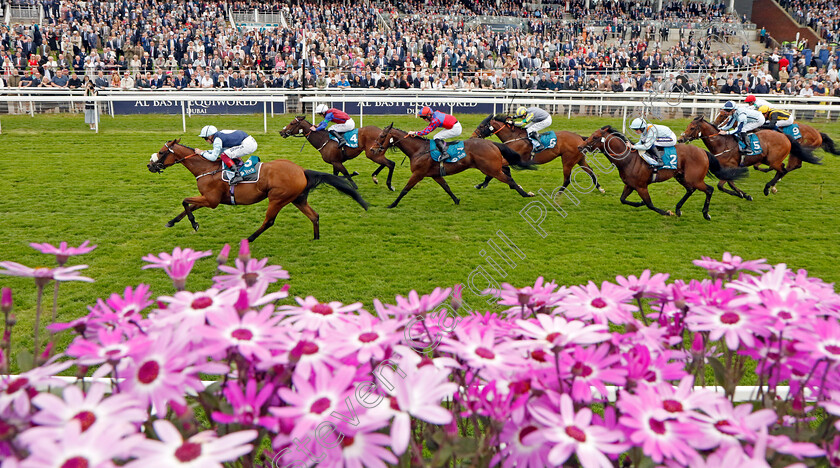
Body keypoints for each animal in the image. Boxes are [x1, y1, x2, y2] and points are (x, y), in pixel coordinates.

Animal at [147, 139, 368, 241]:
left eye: (161, 152)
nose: (150, 166)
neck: (207, 168)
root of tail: (301, 171)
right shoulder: (209, 198)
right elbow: (188, 206)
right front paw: (172, 222)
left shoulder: (211, 200)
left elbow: (185, 201)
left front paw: (194, 224)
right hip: (298, 198)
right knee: (314, 215)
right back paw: (315, 238)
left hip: (277, 199)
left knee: (269, 221)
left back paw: (249, 238)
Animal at [372, 123, 540, 207]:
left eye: (382, 136)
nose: (373, 149)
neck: (419, 150)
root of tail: (492, 143)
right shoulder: (435, 175)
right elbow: (447, 187)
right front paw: (457, 200)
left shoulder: (418, 174)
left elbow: (405, 190)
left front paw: (392, 204)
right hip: (493, 167)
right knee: (507, 172)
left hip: (491, 169)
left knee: (509, 180)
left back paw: (525, 194)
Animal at [472, 113, 604, 192]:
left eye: (482, 126)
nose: (472, 137)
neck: (514, 137)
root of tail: (580, 138)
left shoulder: (513, 159)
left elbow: (493, 172)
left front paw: (481, 184)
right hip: (580, 159)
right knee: (590, 171)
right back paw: (600, 188)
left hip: (568, 160)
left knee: (568, 178)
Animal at [576, 126, 748, 221]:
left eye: (595, 137)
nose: (580, 146)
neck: (628, 159)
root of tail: (702, 151)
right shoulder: (630, 185)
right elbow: (623, 199)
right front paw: (639, 203)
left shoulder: (641, 186)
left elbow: (650, 204)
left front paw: (667, 212)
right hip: (681, 176)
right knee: (690, 190)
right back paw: (678, 209)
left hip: (694, 178)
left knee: (709, 189)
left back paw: (706, 214)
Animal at [680, 118, 816, 198]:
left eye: (692, 128)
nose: (681, 139)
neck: (722, 143)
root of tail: (784, 136)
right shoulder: (727, 170)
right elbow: (728, 184)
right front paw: (744, 195)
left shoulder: (731, 167)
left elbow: (721, 185)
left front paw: (742, 194)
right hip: (767, 159)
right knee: (781, 169)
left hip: (773, 160)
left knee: (782, 169)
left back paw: (768, 188)